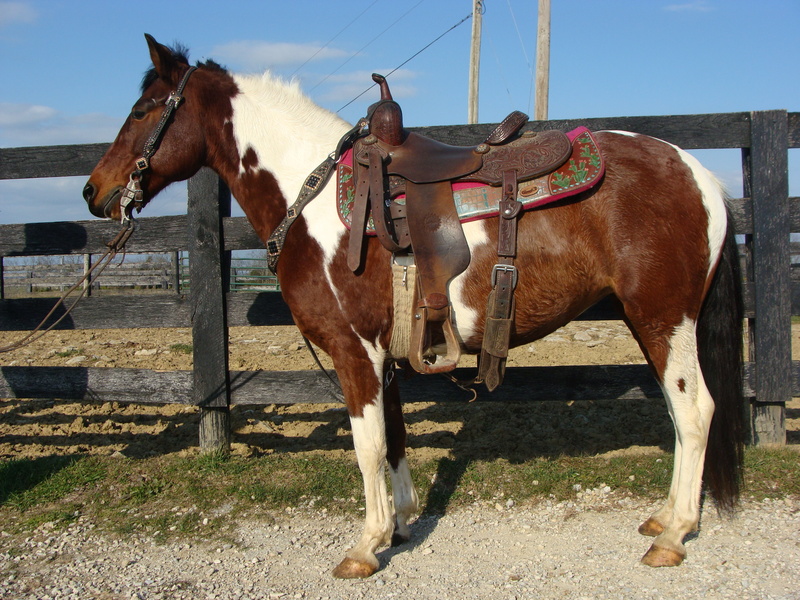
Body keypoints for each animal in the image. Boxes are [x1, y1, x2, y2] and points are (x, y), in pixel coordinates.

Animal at [83, 34, 745, 578]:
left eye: (142, 110)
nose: (94, 191)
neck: (313, 200)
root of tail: (702, 176)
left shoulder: (353, 352)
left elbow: (367, 445)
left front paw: (365, 545)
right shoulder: (385, 356)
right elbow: (396, 437)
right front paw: (399, 525)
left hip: (664, 319)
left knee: (696, 412)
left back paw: (674, 536)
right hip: (651, 322)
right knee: (681, 415)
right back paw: (663, 518)